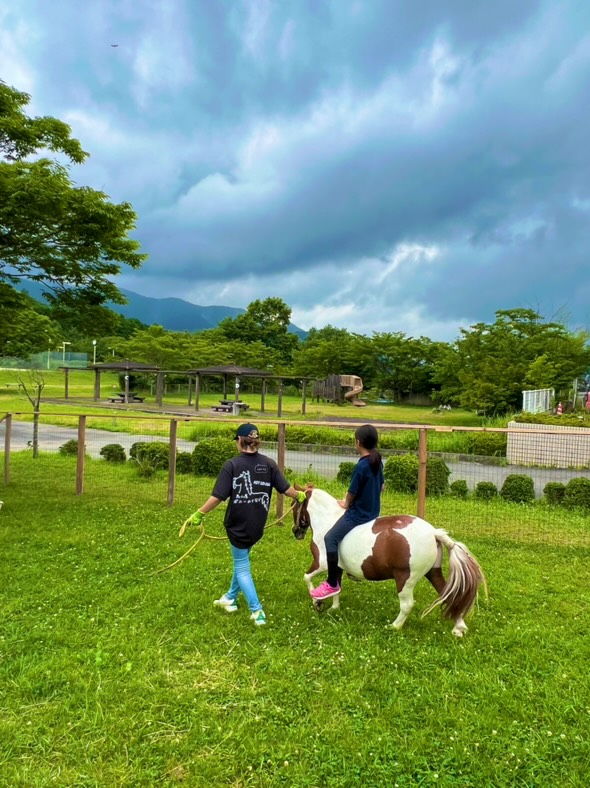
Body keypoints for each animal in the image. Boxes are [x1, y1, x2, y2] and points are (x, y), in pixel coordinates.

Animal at [292, 487, 486, 637]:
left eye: (294, 506)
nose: (296, 531)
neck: (327, 521)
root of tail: (433, 532)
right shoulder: (336, 567)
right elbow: (335, 587)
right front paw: (333, 607)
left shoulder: (322, 564)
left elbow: (307, 577)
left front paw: (317, 602)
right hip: (433, 572)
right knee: (449, 595)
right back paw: (459, 628)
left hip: (405, 578)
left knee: (407, 604)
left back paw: (394, 626)